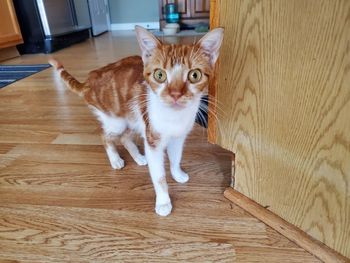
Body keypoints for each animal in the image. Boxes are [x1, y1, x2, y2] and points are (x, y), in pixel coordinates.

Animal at [48, 26, 224, 217]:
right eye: (160, 75)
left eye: (194, 75)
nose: (176, 94)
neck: (174, 117)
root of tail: (89, 81)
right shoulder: (152, 140)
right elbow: (158, 176)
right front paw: (163, 202)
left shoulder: (177, 138)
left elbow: (176, 157)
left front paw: (177, 173)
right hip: (116, 120)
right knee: (105, 135)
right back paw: (115, 159)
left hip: (134, 118)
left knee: (125, 137)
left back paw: (139, 157)